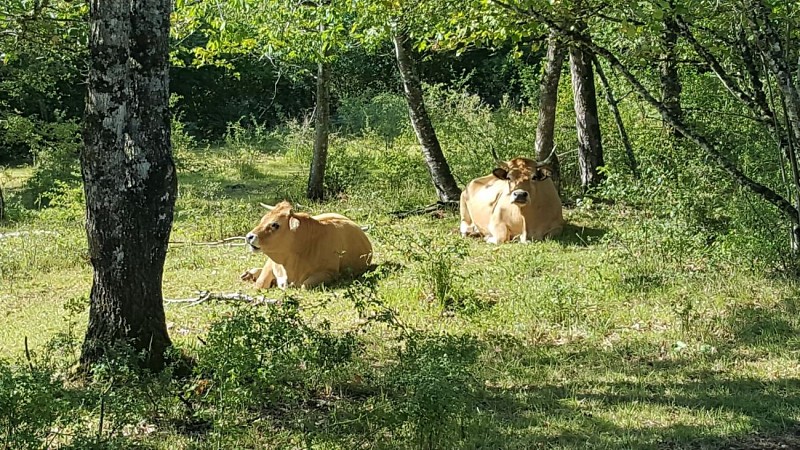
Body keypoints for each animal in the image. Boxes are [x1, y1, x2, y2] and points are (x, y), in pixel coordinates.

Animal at [240, 201, 373, 289]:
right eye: (263, 219)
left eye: (275, 224)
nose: (249, 236)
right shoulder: (271, 263)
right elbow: (260, 283)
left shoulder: (330, 273)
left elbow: (305, 285)